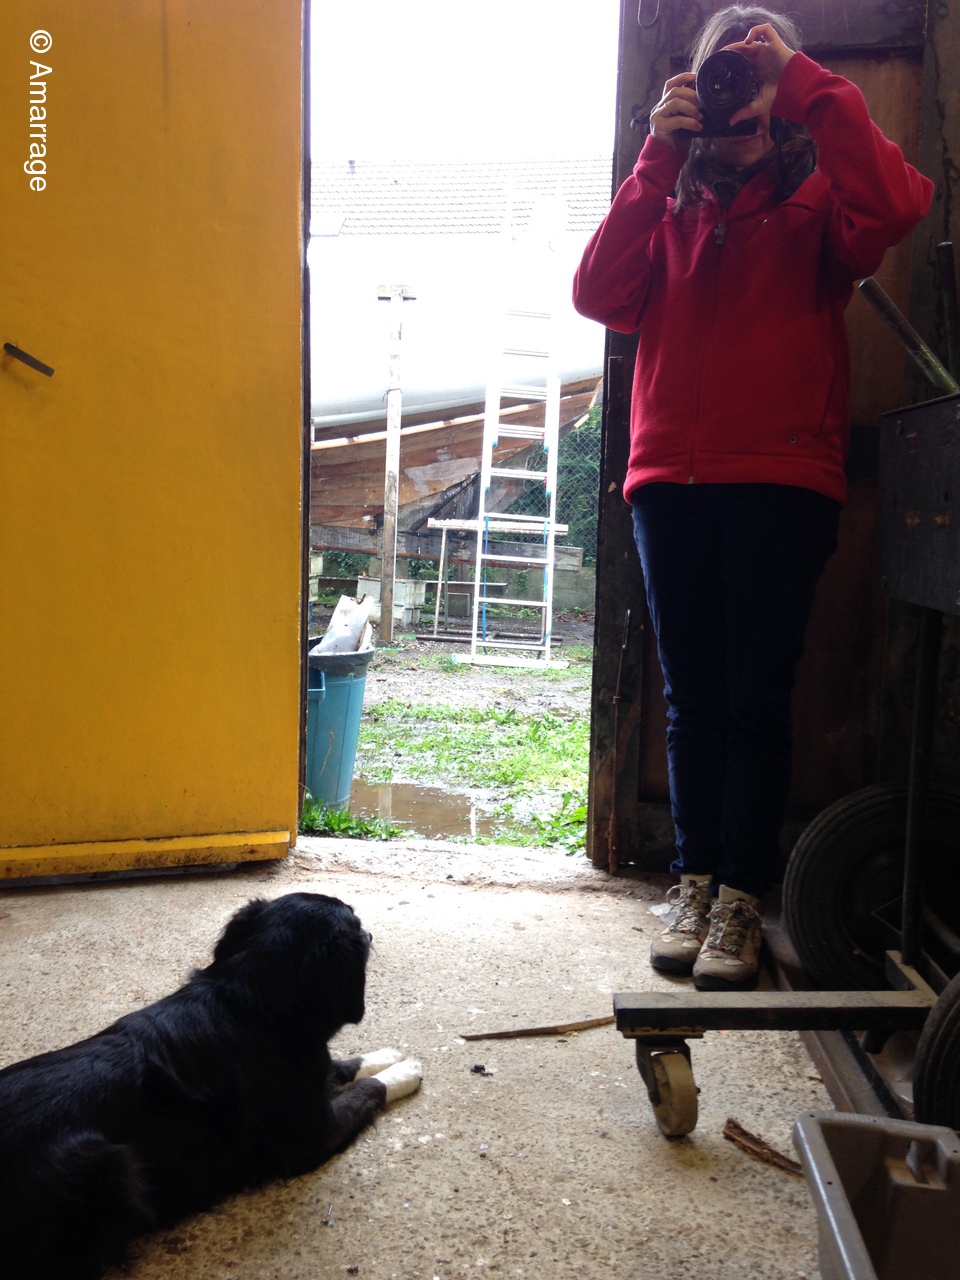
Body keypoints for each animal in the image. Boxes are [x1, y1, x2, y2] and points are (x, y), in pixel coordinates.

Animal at [0, 891, 421, 1280]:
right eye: (356, 925)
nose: (370, 932)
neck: (253, 1004)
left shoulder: (311, 1074)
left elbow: (344, 1067)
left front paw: (385, 1056)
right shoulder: (311, 1138)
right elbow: (368, 1089)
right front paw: (403, 1072)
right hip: (113, 1166)